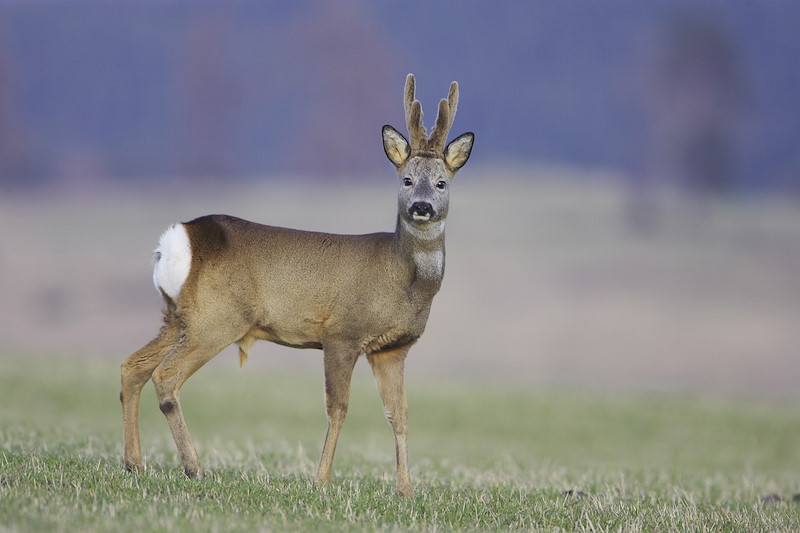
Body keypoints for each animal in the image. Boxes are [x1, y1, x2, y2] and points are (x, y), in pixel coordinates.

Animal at [120, 74, 474, 496]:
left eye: (441, 183)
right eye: (406, 180)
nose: (421, 206)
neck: (402, 280)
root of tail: (178, 239)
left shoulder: (392, 349)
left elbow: (399, 414)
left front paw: (405, 488)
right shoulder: (341, 334)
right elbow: (338, 408)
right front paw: (321, 479)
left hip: (178, 317)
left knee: (132, 367)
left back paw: (134, 463)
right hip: (215, 319)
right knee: (165, 377)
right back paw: (193, 467)